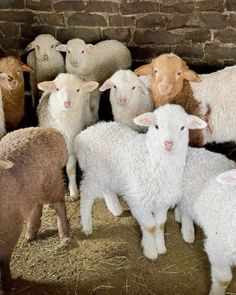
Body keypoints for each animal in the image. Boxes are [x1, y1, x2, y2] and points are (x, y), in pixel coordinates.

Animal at [0, 127, 69, 294]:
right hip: (34, 187)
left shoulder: (10, 230)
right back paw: (31, 232)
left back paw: (63, 234)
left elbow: (3, 261)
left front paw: (6, 285)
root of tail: (52, 131)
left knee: (59, 204)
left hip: (51, 181)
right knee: (37, 204)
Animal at [75, 104, 206, 262]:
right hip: (94, 173)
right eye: (156, 126)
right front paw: (150, 252)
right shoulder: (138, 199)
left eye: (182, 127)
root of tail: (85, 133)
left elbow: (160, 224)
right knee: (86, 194)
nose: (168, 143)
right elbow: (150, 226)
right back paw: (86, 225)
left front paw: (161, 248)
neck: (151, 160)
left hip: (108, 174)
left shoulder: (162, 200)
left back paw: (115, 209)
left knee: (107, 189)